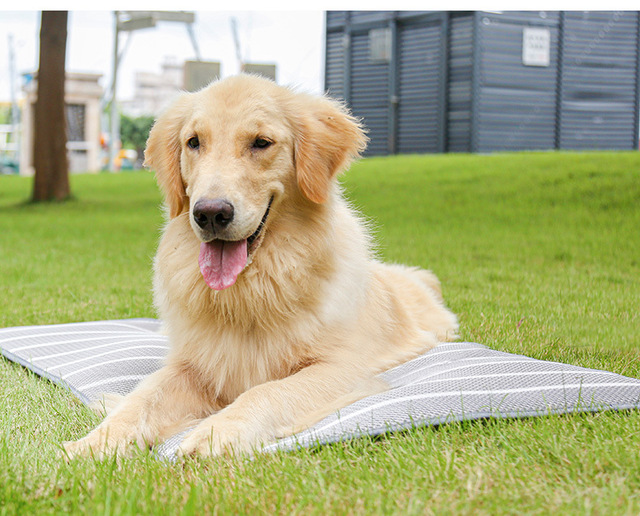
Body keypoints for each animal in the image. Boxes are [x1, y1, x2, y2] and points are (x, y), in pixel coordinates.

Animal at [62, 74, 458, 458]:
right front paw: (97, 441)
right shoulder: (192, 365)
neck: (249, 291)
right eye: (193, 142)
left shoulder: (343, 368)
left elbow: (266, 391)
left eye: (261, 142)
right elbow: (143, 397)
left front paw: (217, 431)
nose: (210, 213)